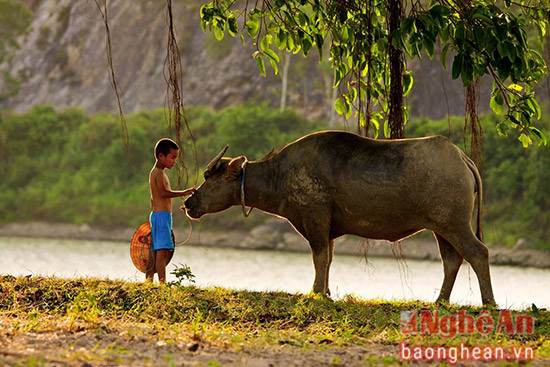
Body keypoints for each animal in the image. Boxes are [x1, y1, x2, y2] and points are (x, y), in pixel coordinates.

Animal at [183, 131, 498, 306]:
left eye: (209, 178)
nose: (188, 202)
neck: (281, 174)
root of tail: (461, 158)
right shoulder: (328, 228)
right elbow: (329, 259)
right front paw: (325, 292)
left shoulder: (315, 220)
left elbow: (320, 258)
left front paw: (315, 293)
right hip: (440, 227)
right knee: (452, 260)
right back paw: (440, 301)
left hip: (453, 223)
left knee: (478, 253)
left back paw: (489, 302)